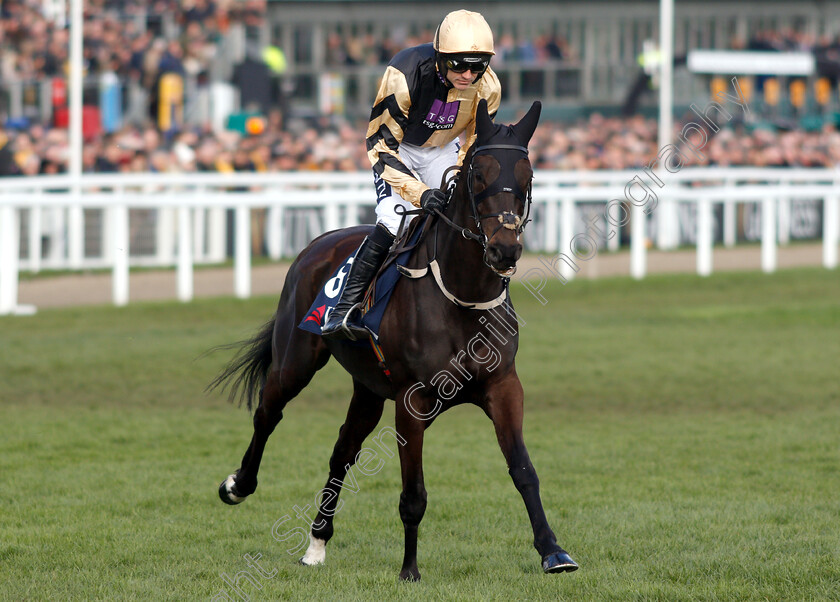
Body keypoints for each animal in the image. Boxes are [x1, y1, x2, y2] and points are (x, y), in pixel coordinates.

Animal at [210, 98, 576, 576]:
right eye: (478, 175)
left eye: (527, 176)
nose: (504, 249)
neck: (461, 294)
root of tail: (317, 244)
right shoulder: (412, 400)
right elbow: (413, 494)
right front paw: (409, 570)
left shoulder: (503, 386)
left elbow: (523, 470)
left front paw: (553, 550)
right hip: (296, 360)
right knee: (268, 414)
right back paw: (238, 485)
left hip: (367, 386)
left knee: (342, 449)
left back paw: (317, 543)